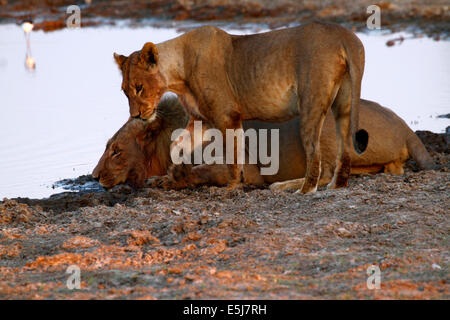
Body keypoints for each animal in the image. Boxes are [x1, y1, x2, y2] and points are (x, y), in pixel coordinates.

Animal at [91, 95, 432, 190]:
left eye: (116, 151)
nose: (94, 176)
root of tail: (404, 125)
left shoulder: (246, 170)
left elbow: (204, 172)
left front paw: (172, 177)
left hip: (321, 125)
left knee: (325, 174)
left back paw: (282, 186)